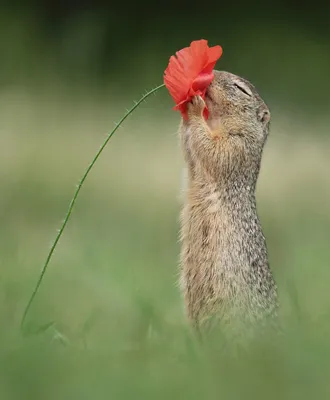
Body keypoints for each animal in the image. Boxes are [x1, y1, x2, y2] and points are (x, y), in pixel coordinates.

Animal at [179, 69, 278, 334]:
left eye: (241, 89)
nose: (210, 75)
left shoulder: (238, 146)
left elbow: (214, 150)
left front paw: (195, 107)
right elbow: (190, 152)